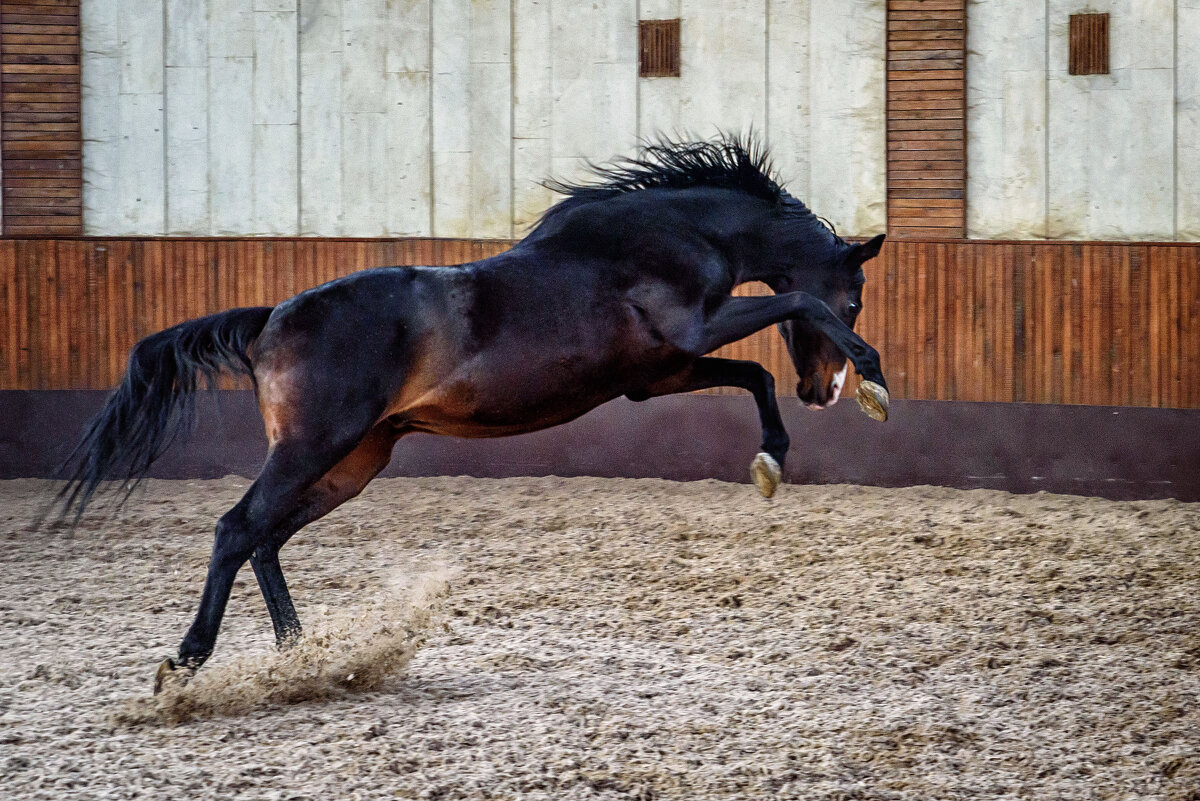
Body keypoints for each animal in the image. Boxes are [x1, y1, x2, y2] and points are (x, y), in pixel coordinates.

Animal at [60, 136, 892, 690]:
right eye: (857, 297)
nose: (823, 390)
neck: (669, 237)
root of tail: (271, 320)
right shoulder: (691, 337)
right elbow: (797, 300)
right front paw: (875, 386)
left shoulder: (661, 372)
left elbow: (754, 371)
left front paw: (770, 460)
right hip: (313, 447)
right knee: (237, 529)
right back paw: (189, 660)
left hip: (353, 462)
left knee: (265, 539)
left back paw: (306, 658)